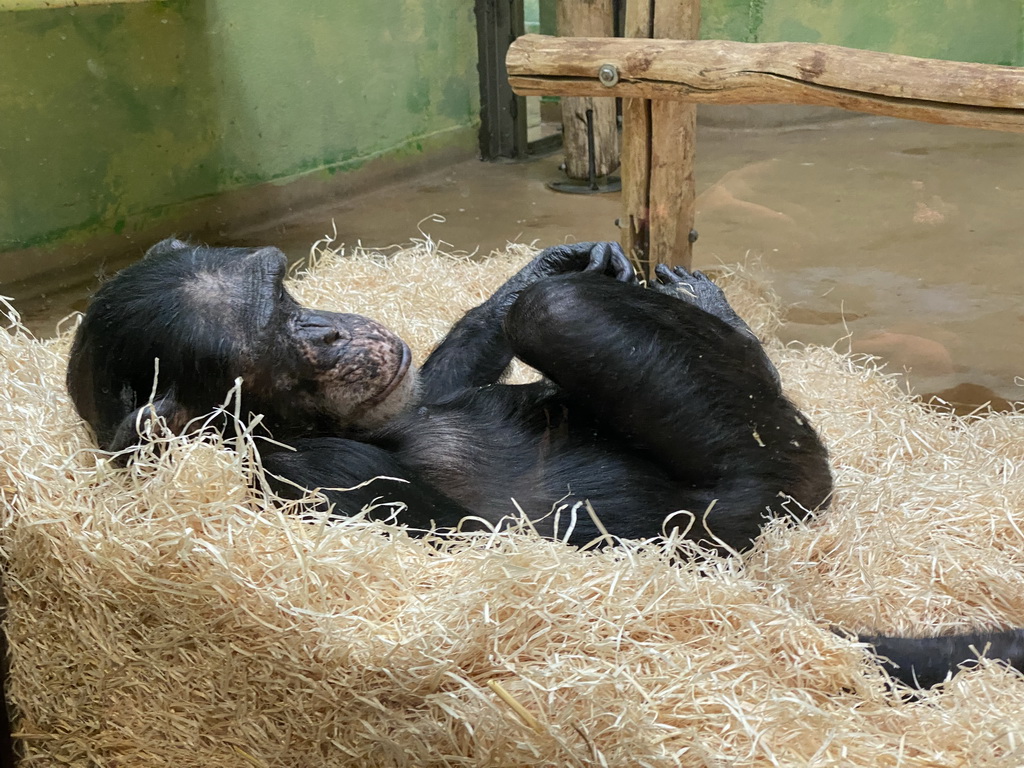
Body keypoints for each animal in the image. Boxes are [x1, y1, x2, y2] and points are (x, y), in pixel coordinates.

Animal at [68, 237, 1019, 688]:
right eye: (274, 332)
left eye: (286, 286)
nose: (325, 329)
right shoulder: (313, 477)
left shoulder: (404, 397)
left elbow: (441, 383)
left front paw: (552, 257)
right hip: (778, 480)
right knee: (556, 316)